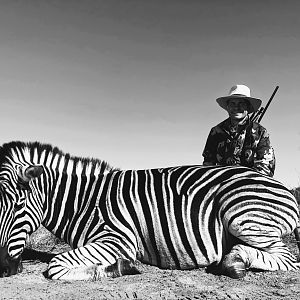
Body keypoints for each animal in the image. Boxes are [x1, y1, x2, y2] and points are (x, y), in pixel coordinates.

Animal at [0, 142, 298, 280]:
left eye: (18, 205)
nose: (3, 268)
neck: (84, 201)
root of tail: (282, 187)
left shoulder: (119, 239)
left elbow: (55, 266)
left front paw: (120, 267)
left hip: (240, 216)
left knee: (289, 260)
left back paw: (235, 261)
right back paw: (233, 257)